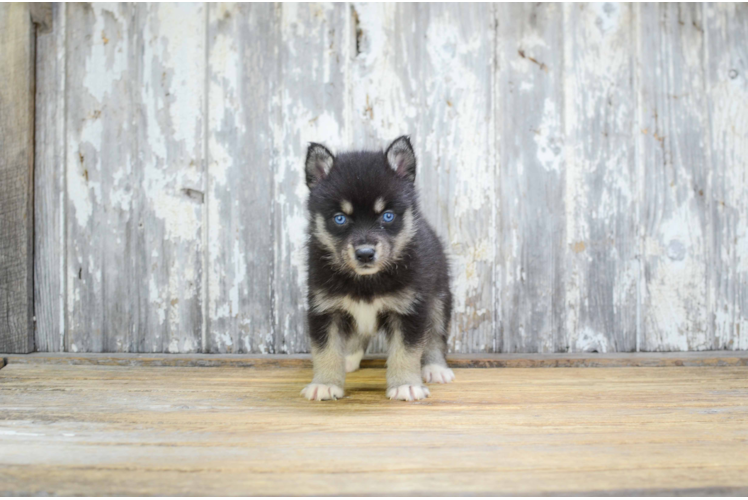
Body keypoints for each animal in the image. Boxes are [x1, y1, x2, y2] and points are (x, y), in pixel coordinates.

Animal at [300, 137, 452, 402]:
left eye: (387, 216)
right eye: (340, 218)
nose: (365, 254)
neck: (366, 281)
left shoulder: (410, 309)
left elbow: (406, 351)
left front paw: (405, 385)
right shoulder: (325, 308)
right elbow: (325, 350)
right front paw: (325, 383)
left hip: (439, 297)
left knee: (435, 334)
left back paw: (435, 368)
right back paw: (349, 359)